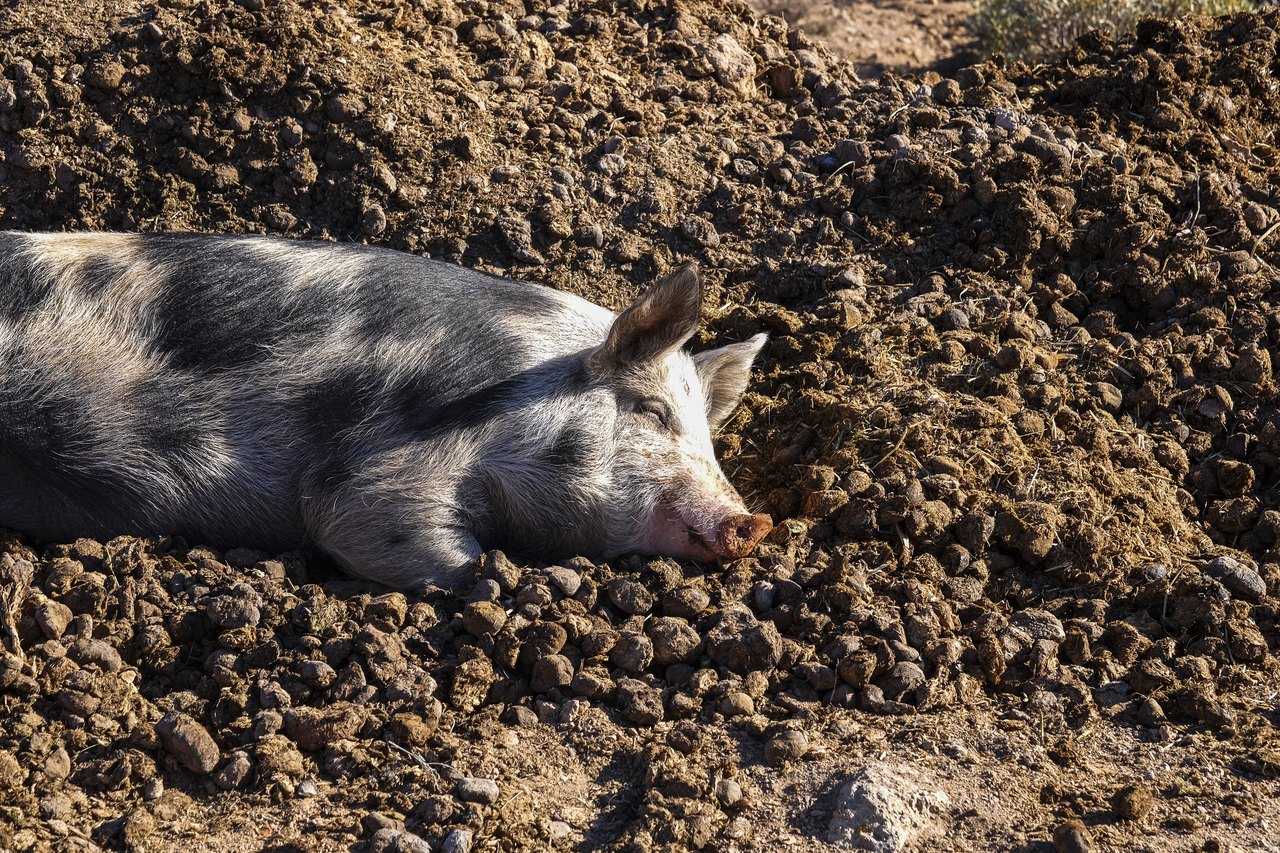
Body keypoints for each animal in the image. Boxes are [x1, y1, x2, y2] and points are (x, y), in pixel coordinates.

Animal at [0, 231, 772, 588]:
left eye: (709, 436)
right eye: (651, 411)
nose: (753, 521)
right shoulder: (385, 469)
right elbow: (366, 519)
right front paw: (492, 578)